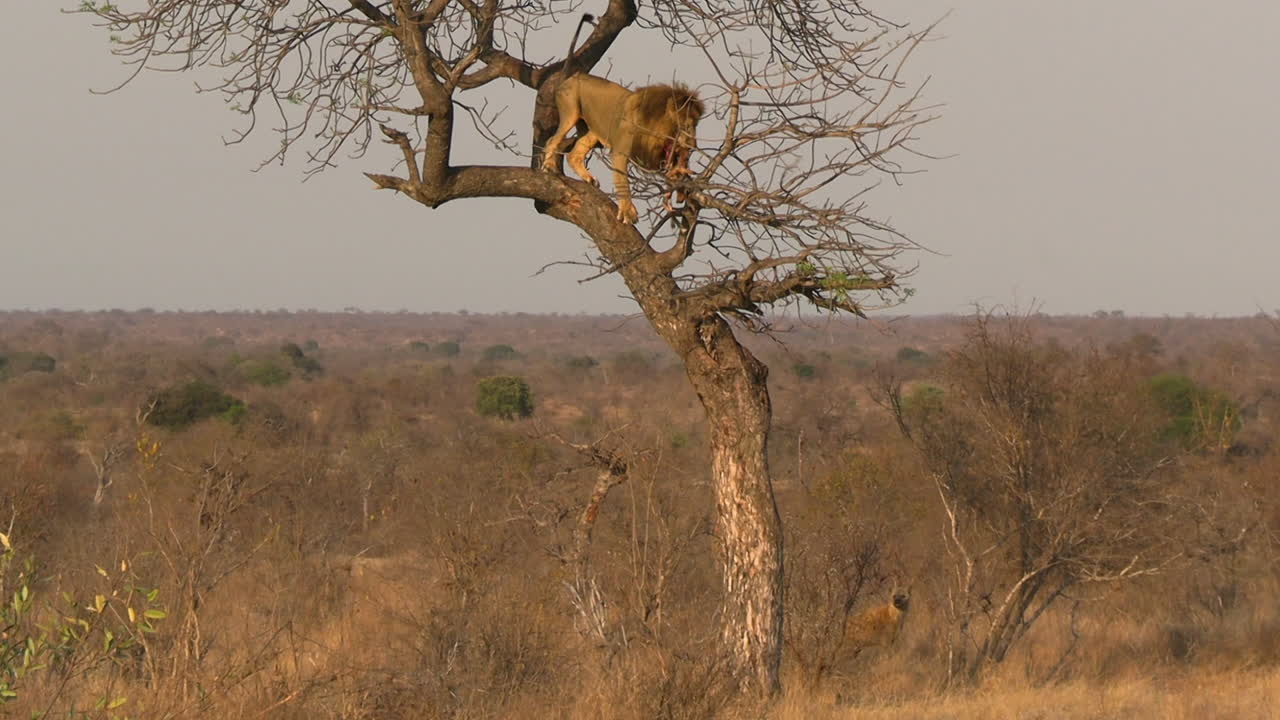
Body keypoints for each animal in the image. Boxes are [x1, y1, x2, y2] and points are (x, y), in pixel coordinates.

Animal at [540, 14, 705, 224]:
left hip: (593, 130)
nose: (693, 145)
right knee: (552, 140)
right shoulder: (620, 151)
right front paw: (628, 212)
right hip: (570, 113)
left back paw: (588, 178)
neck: (658, 128)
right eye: (687, 125)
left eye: (697, 125)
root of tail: (571, 76)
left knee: (574, 153)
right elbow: (622, 183)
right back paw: (548, 166)